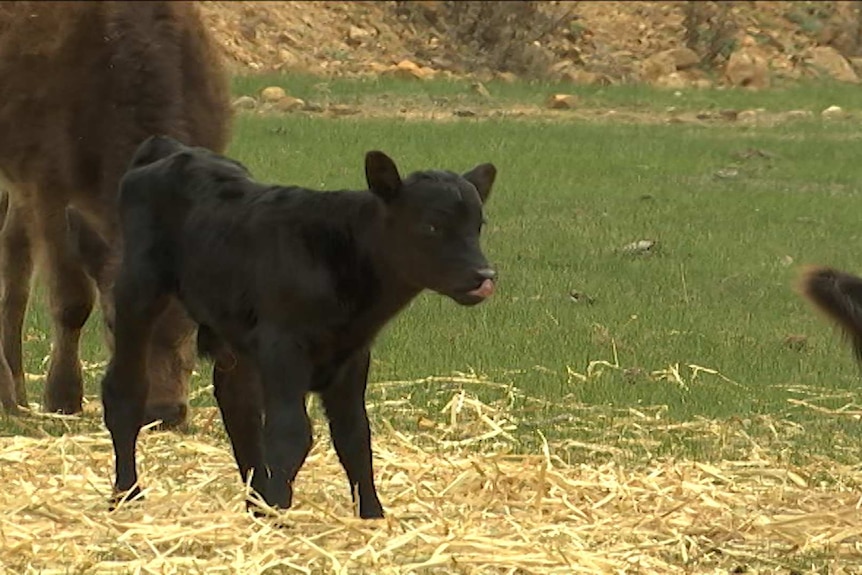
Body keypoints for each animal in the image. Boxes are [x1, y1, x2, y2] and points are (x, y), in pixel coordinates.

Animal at [0, 1, 233, 428]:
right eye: (111, 323)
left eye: (192, 323)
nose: (162, 411)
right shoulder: (49, 192)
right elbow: (72, 301)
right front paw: (63, 397)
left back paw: (16, 396)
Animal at [97, 137, 496, 520]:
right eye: (431, 225)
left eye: (477, 225)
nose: (484, 275)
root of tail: (173, 148)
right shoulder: (284, 348)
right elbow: (290, 434)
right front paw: (280, 512)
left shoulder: (351, 356)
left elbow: (354, 435)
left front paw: (372, 515)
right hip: (138, 288)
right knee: (126, 389)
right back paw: (126, 494)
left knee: (238, 404)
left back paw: (256, 505)